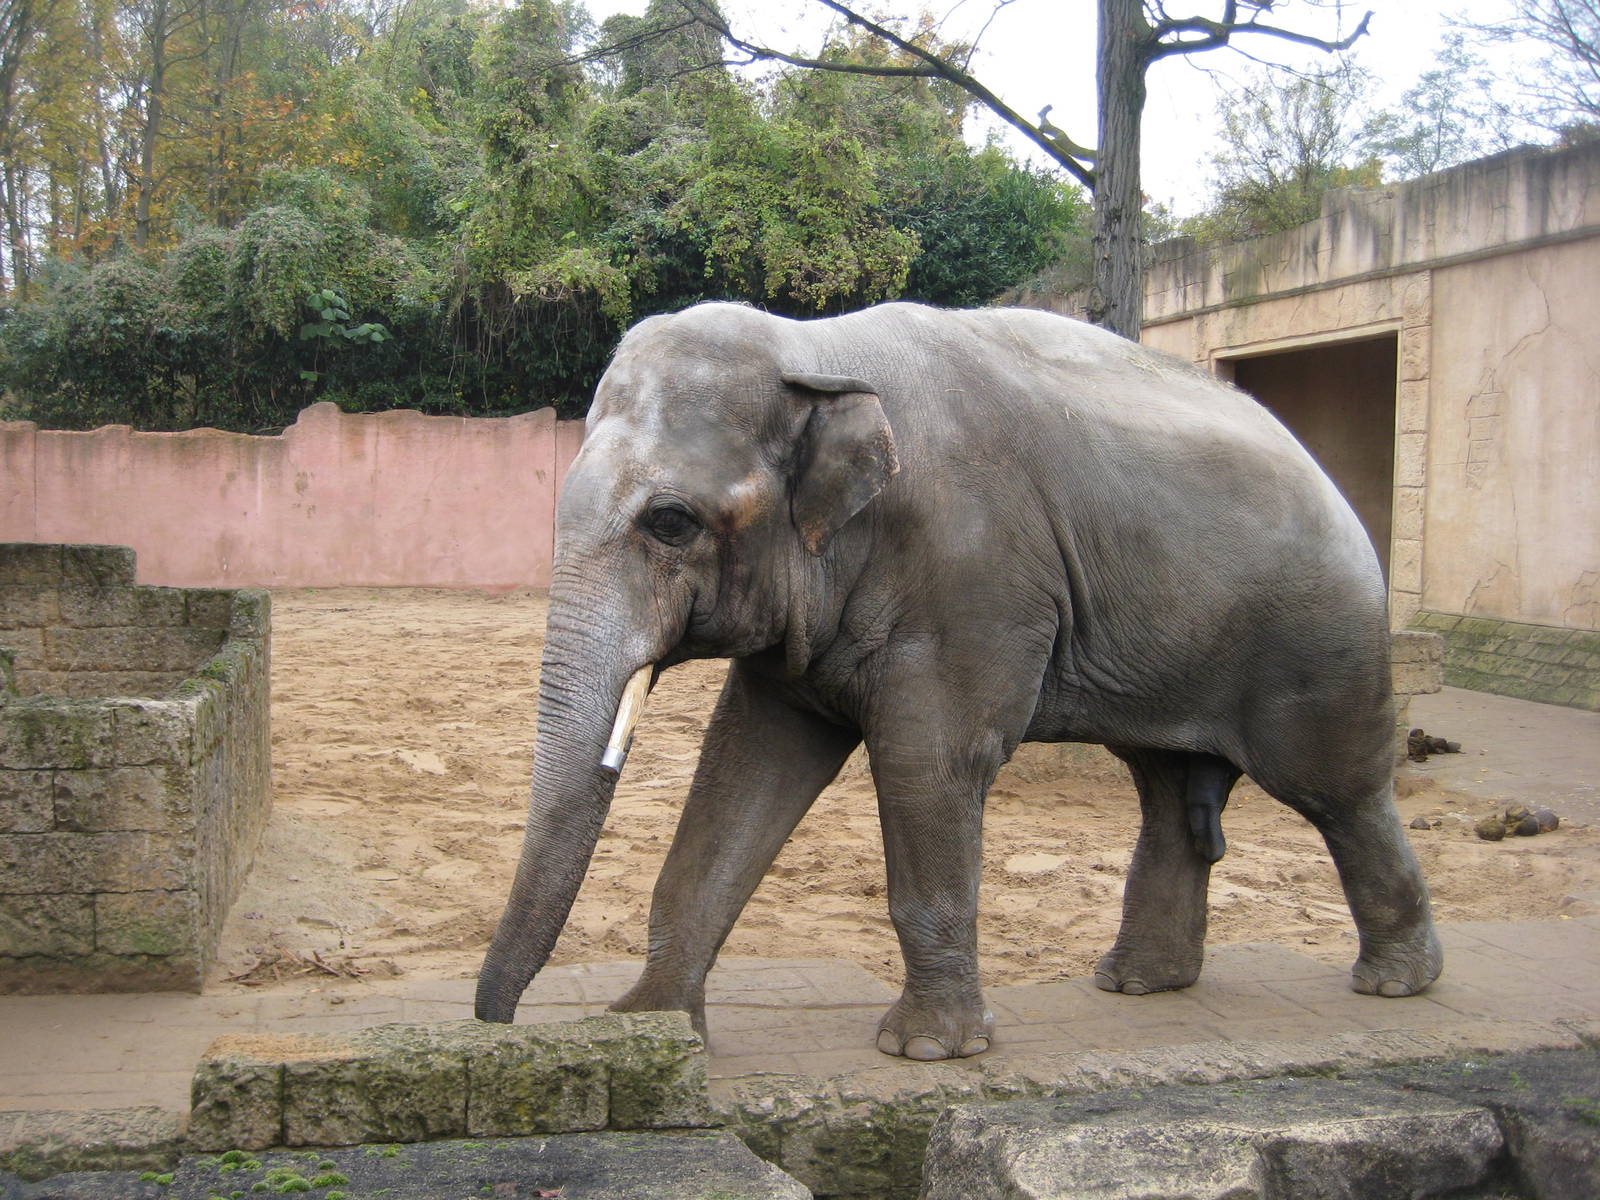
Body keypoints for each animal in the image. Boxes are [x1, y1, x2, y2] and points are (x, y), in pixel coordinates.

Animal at [475, 301, 1442, 1061]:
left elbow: (925, 765)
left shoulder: (972, 579)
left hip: (1319, 639)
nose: (497, 1027)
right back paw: (1138, 984)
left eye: (670, 522)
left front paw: (927, 1051)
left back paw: (1396, 985)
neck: (815, 349)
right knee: (1168, 791)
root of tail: (1319, 466)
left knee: (1337, 791)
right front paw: (651, 1028)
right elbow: (745, 766)